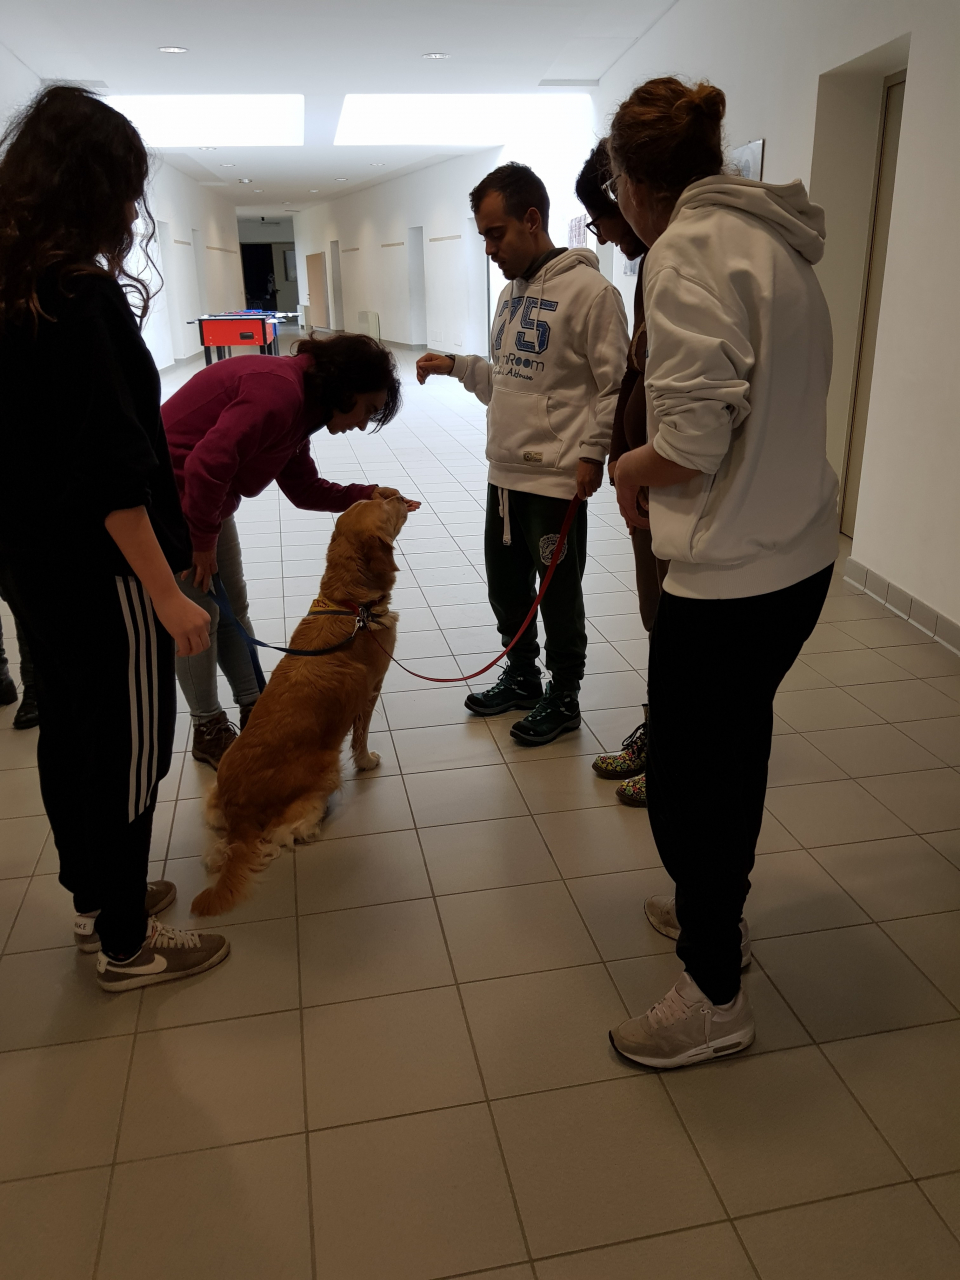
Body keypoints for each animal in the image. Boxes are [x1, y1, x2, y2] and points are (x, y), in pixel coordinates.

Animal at [191, 491, 408, 917]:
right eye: (387, 508)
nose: (395, 494)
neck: (348, 604)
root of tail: (240, 815)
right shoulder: (371, 689)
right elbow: (361, 737)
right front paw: (367, 761)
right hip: (324, 775)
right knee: (282, 834)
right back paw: (313, 824)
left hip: (214, 796)